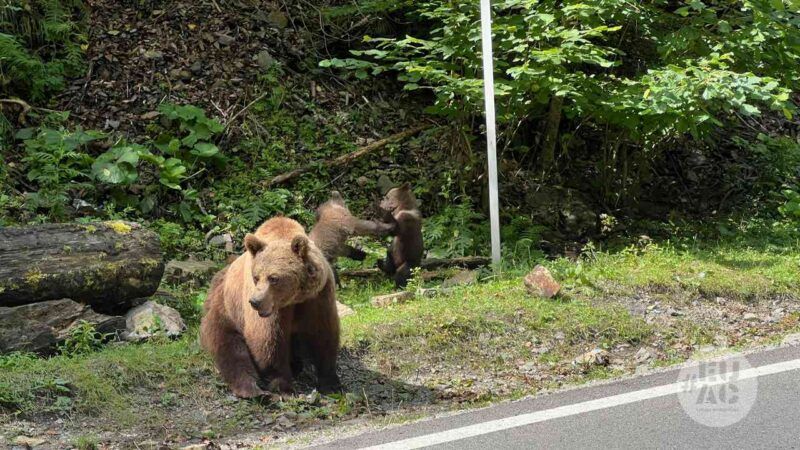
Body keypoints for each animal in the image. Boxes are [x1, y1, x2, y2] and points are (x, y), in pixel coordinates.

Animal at [199, 217, 341, 398]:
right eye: (256, 277)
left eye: (273, 278)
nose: (254, 301)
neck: (294, 299)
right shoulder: (271, 310)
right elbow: (268, 341)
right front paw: (283, 385)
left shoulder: (317, 297)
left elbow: (323, 335)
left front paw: (331, 383)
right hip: (225, 308)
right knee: (230, 348)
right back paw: (252, 389)